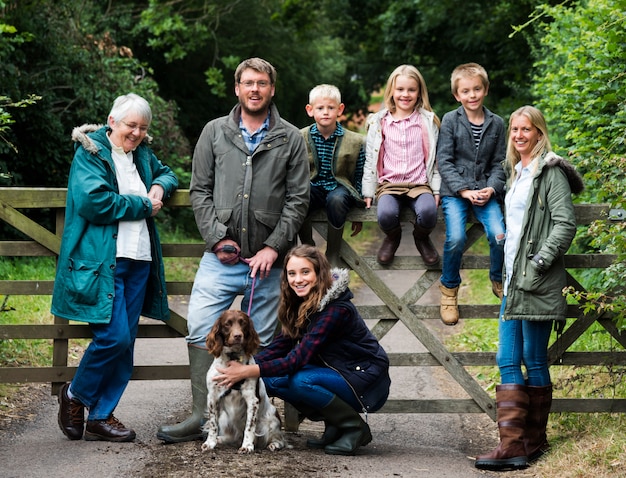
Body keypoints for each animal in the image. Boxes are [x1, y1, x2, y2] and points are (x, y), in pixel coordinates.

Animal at [201, 310, 284, 452]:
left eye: (243, 323)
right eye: (227, 324)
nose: (238, 335)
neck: (233, 358)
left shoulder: (252, 400)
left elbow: (249, 427)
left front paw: (247, 446)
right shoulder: (212, 397)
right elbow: (213, 424)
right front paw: (210, 442)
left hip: (272, 418)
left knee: (279, 439)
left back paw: (274, 445)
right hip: (224, 418)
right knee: (232, 436)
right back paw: (221, 439)